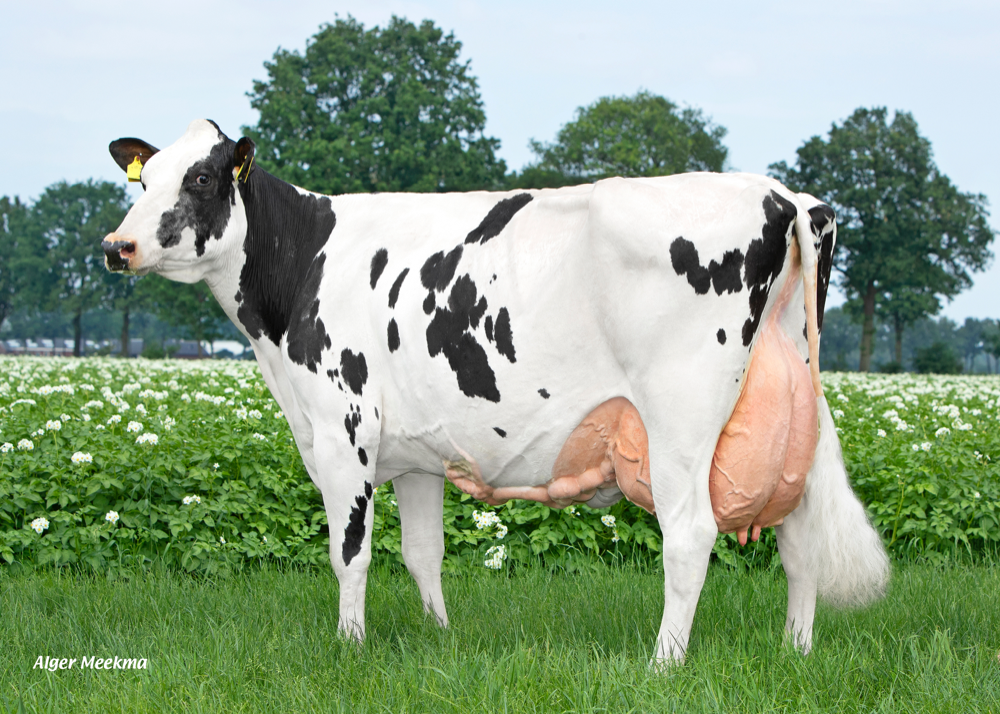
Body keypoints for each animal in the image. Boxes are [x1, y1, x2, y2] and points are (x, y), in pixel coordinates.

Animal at [103, 118, 892, 660]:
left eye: (202, 180)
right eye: (143, 180)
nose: (117, 246)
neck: (302, 266)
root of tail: (782, 193)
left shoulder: (342, 430)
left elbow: (350, 552)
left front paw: (349, 646)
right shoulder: (415, 454)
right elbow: (423, 552)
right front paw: (440, 636)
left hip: (682, 417)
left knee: (691, 534)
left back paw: (664, 661)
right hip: (789, 403)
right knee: (800, 533)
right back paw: (795, 649)